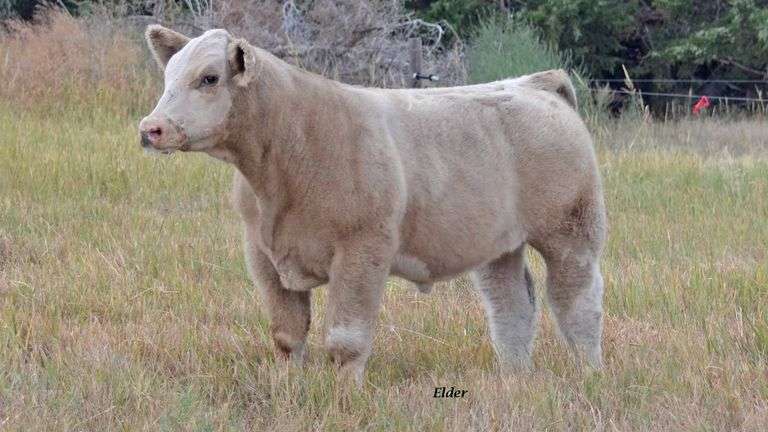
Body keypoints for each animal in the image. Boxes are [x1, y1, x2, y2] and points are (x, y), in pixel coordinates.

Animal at [139, 26, 607, 385]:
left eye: (209, 78)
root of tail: (533, 84)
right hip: (498, 245)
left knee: (576, 303)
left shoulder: (362, 250)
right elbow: (287, 335)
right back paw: (514, 378)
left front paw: (345, 394)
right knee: (510, 306)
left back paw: (588, 373)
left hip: (571, 233)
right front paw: (287, 386)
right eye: (168, 76)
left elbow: (346, 339)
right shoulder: (262, 253)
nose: (151, 128)